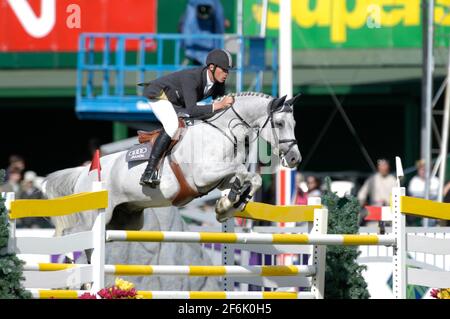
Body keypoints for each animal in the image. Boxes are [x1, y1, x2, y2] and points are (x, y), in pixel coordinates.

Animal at [44, 92, 300, 235]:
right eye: (279, 123)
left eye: (294, 123)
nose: (295, 158)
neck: (222, 131)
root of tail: (83, 172)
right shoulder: (204, 175)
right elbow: (243, 172)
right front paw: (229, 203)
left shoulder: (219, 178)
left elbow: (250, 178)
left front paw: (228, 205)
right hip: (96, 216)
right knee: (75, 234)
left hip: (125, 221)